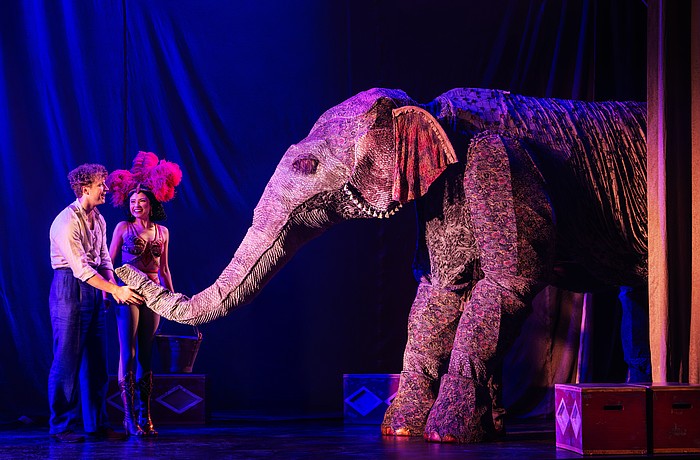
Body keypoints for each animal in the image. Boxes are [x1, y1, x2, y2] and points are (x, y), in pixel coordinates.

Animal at [115, 87, 648, 443]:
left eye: (306, 167)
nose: (124, 274)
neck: (428, 111)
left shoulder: (498, 160)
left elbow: (507, 282)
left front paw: (444, 435)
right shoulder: (441, 193)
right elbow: (442, 288)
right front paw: (401, 431)